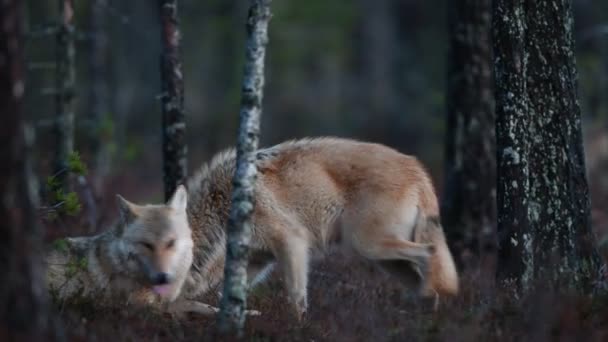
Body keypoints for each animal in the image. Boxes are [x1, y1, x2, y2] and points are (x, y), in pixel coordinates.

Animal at [46, 138, 456, 320]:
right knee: (424, 272)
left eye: (168, 243)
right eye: (142, 246)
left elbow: (295, 299)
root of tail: (420, 169)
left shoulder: (291, 244)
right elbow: (225, 299)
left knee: (432, 255)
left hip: (368, 247)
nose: (160, 277)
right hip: (380, 258)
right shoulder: (256, 262)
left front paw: (296, 328)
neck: (223, 209)